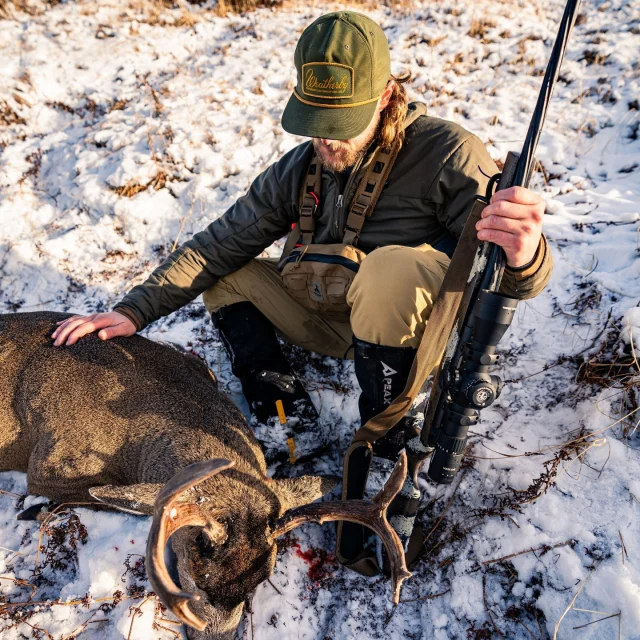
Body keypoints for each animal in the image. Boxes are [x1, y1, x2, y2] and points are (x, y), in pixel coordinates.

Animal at [0, 314, 410, 640]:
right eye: (197, 583)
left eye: (255, 587)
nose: (216, 639)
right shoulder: (50, 464)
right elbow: (108, 498)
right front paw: (33, 509)